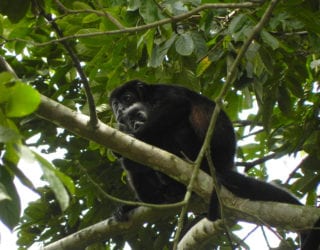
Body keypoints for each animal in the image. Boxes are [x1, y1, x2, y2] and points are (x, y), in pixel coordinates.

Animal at [110, 79, 320, 248]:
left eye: (127, 98)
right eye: (115, 105)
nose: (119, 111)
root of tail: (223, 166)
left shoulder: (165, 92)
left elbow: (178, 105)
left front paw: (135, 137)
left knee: (178, 125)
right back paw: (152, 200)